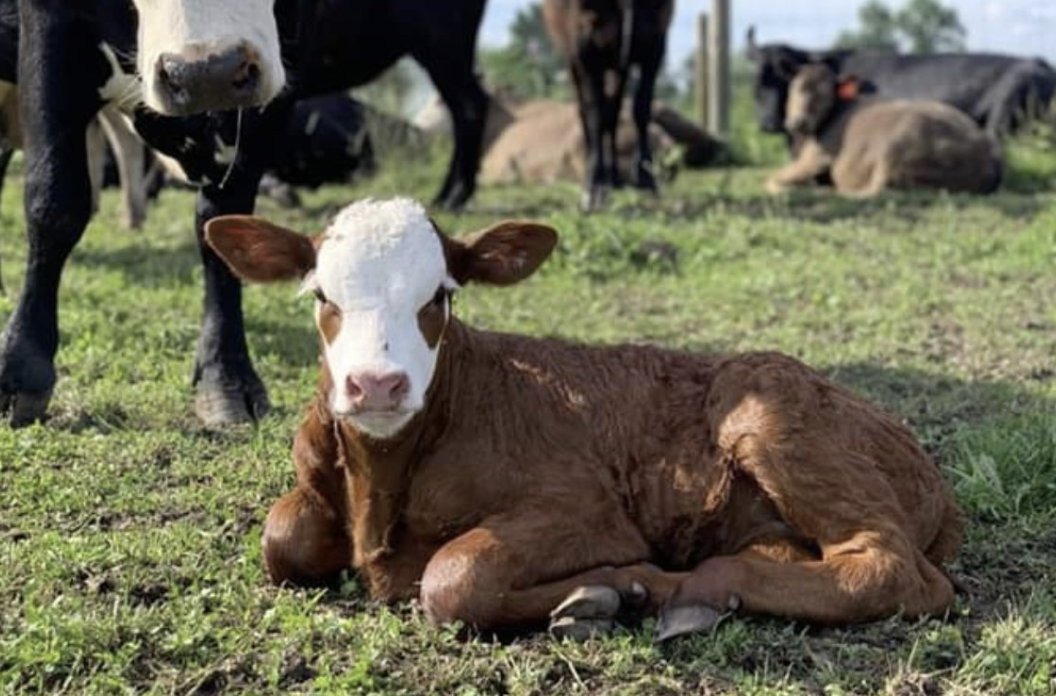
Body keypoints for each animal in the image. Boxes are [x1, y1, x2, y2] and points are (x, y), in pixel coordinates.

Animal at [0, 0, 489, 428]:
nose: (207, 73)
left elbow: (221, 221)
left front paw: (226, 378)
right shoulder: (49, 33)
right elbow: (55, 202)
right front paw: (23, 367)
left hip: (444, 41)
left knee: (468, 105)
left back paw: (453, 194)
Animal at [204, 197, 963, 640]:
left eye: (441, 296)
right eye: (320, 295)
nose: (376, 385)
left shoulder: (586, 509)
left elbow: (454, 575)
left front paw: (602, 592)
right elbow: (282, 538)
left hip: (773, 417)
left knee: (892, 572)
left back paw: (669, 590)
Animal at [544, 0, 675, 211]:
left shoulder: (655, 40)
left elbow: (641, 107)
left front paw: (646, 178)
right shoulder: (585, 45)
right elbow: (595, 114)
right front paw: (594, 185)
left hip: (618, 63)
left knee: (613, 112)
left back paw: (613, 179)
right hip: (573, 58)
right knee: (586, 110)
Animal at [766, 64, 1002, 198]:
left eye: (825, 94)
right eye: (795, 87)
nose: (798, 121)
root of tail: (987, 152)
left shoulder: (814, 158)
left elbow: (772, 178)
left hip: (896, 150)